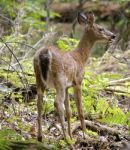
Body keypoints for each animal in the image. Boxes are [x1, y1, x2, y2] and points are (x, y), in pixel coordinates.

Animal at [33, 12, 116, 142]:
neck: (80, 57)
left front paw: (72, 135)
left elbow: (69, 111)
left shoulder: (68, 86)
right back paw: (67, 140)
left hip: (38, 77)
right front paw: (85, 135)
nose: (113, 36)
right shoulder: (77, 81)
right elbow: (80, 110)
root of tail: (44, 53)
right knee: (57, 102)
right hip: (59, 79)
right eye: (101, 28)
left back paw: (41, 137)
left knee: (39, 102)